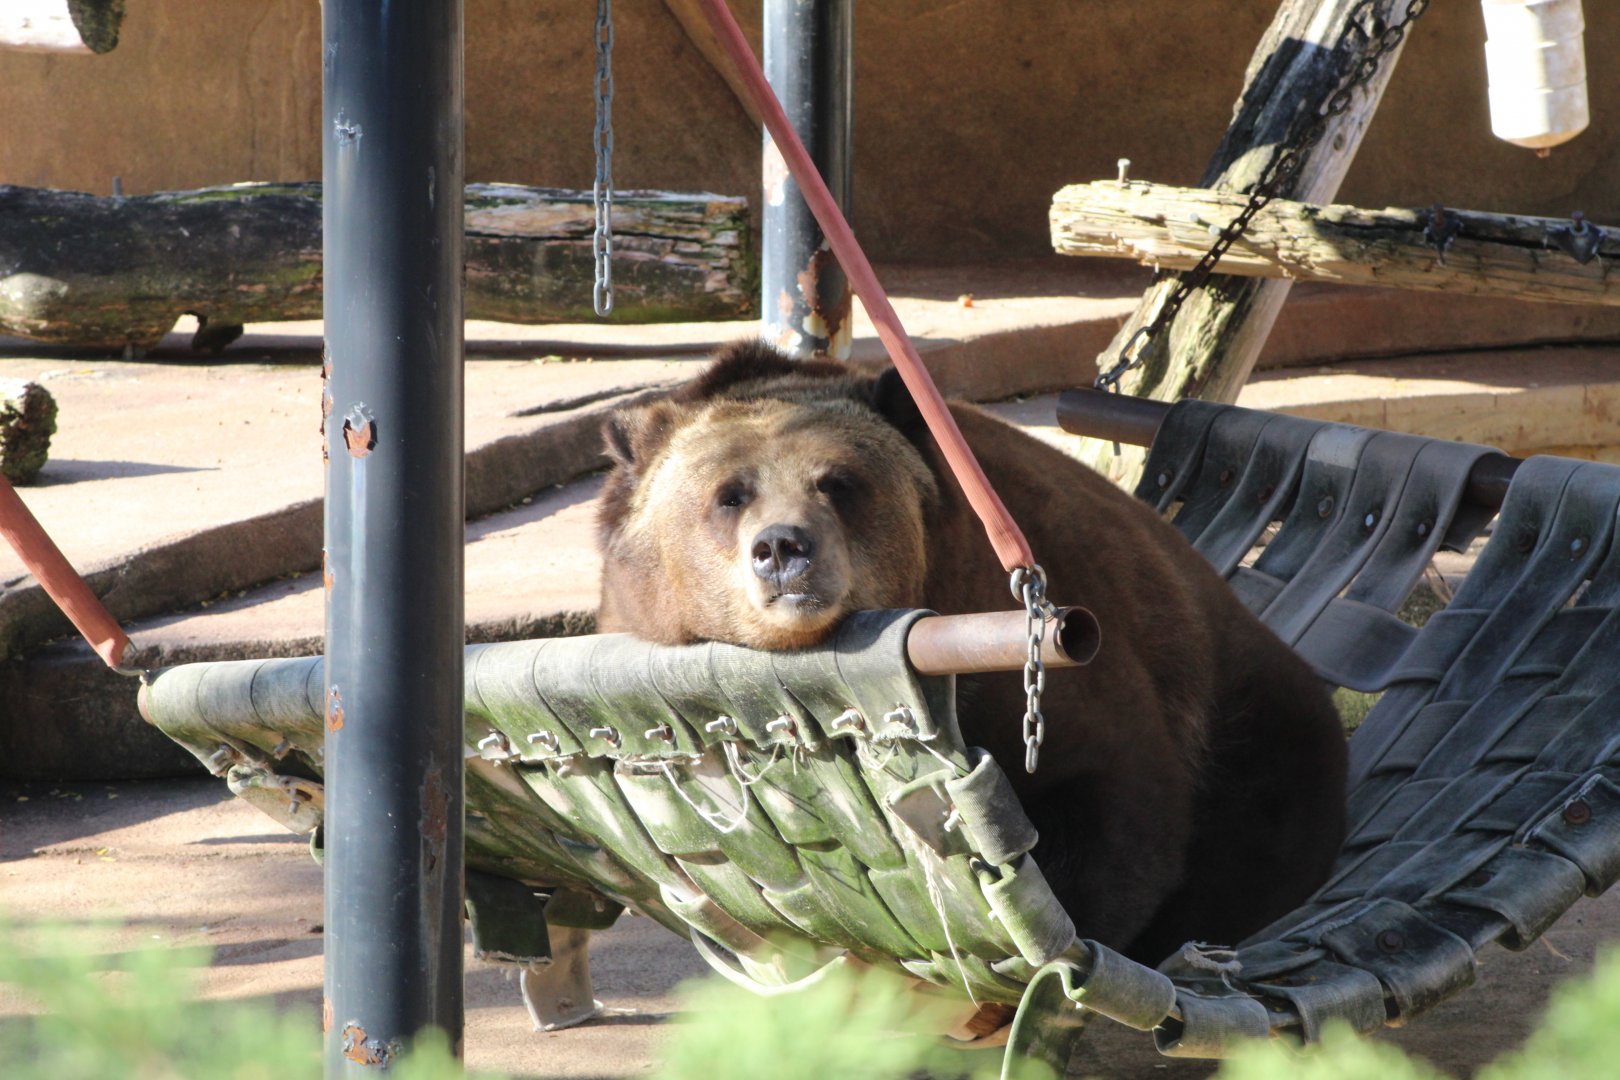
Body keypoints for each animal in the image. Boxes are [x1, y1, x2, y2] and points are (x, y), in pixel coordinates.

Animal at [595, 340, 1347, 964]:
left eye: (838, 481)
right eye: (729, 495)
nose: (783, 547)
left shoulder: (1035, 641)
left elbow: (1115, 795)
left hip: (1253, 717)